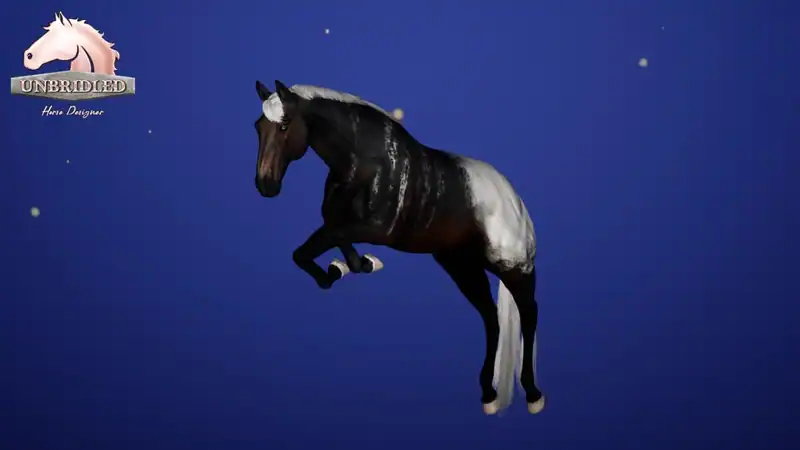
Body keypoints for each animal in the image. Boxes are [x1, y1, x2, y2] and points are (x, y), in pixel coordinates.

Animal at [253, 80, 544, 415]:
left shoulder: (372, 230)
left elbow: (318, 245)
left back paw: (533, 395)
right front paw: (344, 268)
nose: (265, 186)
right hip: (462, 267)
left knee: (529, 314)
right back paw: (488, 394)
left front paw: (345, 268)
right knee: (491, 318)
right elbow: (321, 252)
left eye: (284, 125)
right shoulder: (340, 225)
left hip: (512, 268)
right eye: (258, 126)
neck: (366, 164)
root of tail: (515, 203)